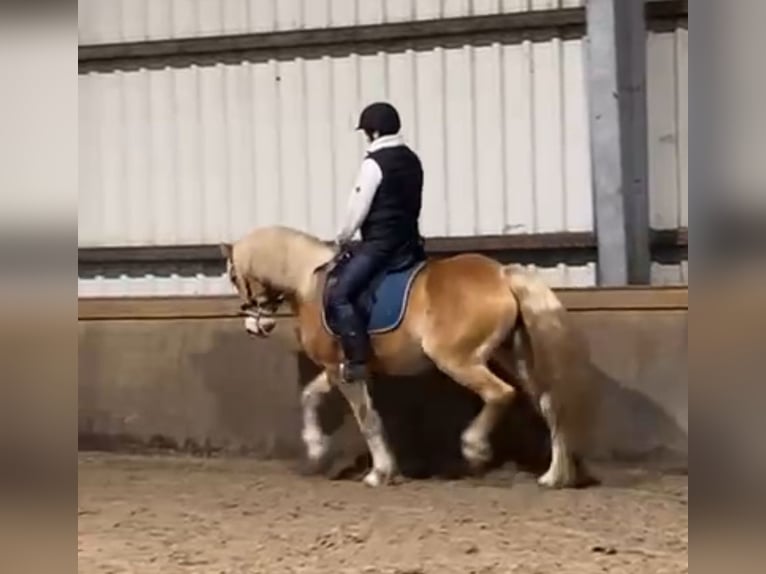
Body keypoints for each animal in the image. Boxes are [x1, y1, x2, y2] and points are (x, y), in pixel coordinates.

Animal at [220, 225, 599, 488]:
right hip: (515, 357)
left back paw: (475, 449)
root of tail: (501, 274)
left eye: (234, 276)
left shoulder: (342, 370)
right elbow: (310, 396)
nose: (256, 325)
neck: (310, 284)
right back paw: (554, 476)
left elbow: (367, 419)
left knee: (500, 394)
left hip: (457, 359)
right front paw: (316, 449)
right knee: (549, 403)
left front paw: (379, 474)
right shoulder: (339, 369)